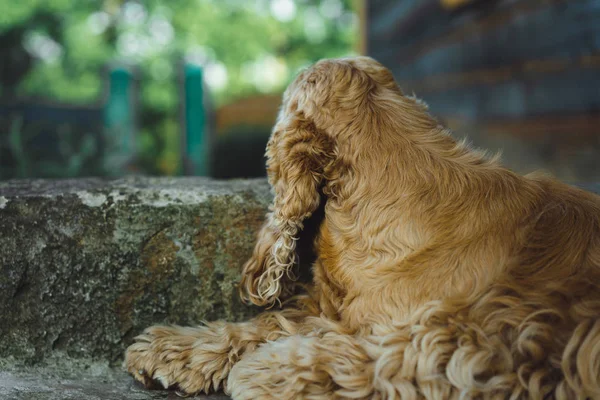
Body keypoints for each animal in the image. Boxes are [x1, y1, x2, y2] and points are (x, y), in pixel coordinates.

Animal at [123, 57, 600, 400]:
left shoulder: (478, 338)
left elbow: (380, 359)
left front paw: (265, 372)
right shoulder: (336, 312)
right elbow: (273, 322)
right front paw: (172, 349)